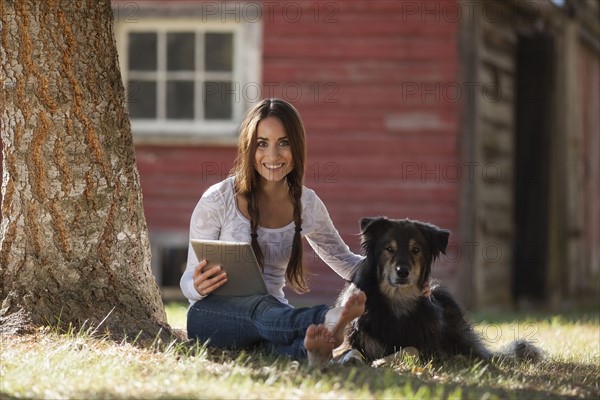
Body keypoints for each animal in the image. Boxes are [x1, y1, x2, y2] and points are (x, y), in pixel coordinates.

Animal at [338, 217, 544, 364]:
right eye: (388, 249)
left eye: (416, 250)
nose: (402, 272)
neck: (398, 300)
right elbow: (349, 350)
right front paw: (352, 359)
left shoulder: (427, 348)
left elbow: (411, 349)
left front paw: (381, 361)